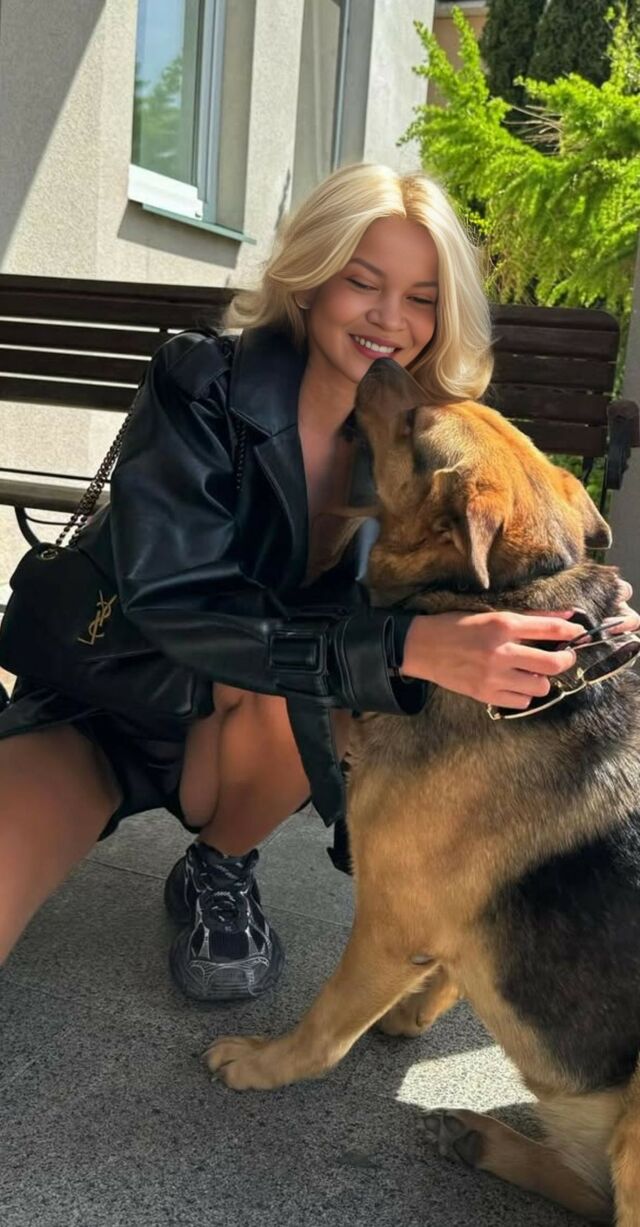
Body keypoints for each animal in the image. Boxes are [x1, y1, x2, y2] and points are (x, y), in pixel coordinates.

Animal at [207, 358, 640, 1224]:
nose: (380, 360)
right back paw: (484, 1140)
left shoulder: (387, 919)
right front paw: (415, 1008)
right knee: (593, 1191)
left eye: (414, 426)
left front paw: (266, 1063)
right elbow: (450, 971)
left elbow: (325, 1025)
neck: (508, 595)